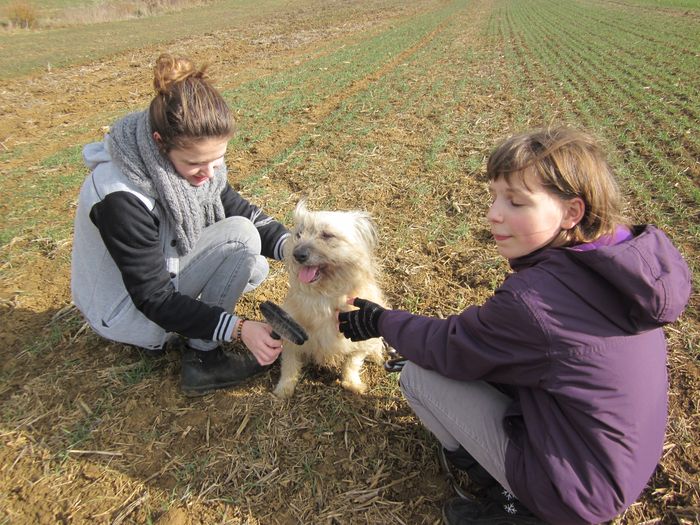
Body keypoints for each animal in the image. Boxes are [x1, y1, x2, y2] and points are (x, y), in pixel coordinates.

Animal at [274, 201, 392, 398]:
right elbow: (289, 366)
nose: (297, 254)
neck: (326, 296)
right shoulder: (291, 335)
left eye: (327, 235)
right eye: (299, 234)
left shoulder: (359, 340)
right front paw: (283, 390)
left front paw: (352, 384)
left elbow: (352, 363)